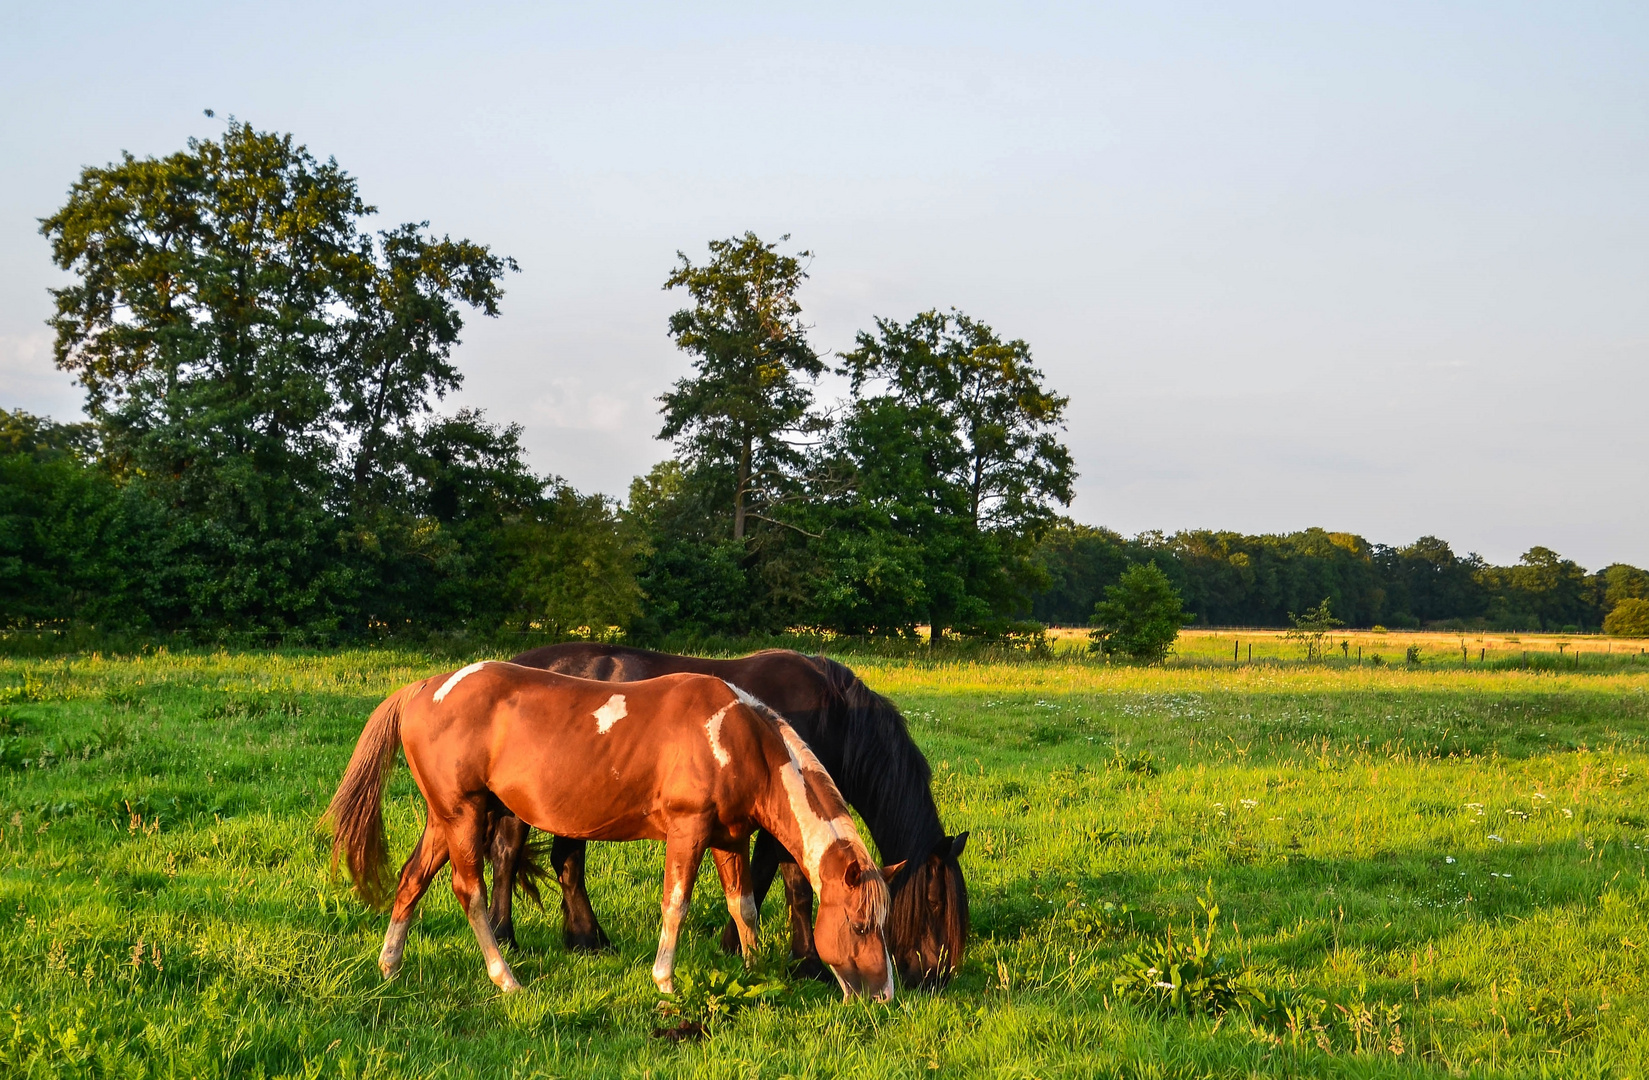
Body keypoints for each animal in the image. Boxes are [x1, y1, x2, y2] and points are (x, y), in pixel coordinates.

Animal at [324, 662, 903, 1002]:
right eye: (859, 926)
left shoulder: (729, 840)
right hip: (465, 816)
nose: (883, 996)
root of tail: (423, 689)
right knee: (470, 892)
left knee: (411, 880)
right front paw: (665, 981)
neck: (736, 738)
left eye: (885, 925)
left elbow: (744, 908)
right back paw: (506, 978)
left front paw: (755, 972)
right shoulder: (688, 832)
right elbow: (677, 903)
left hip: (445, 819)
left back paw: (390, 967)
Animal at [488, 643, 969, 989]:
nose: (934, 979)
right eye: (934, 902)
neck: (837, 716)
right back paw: (508, 935)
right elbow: (786, 884)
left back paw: (585, 940)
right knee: (508, 856)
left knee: (565, 862)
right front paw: (792, 958)